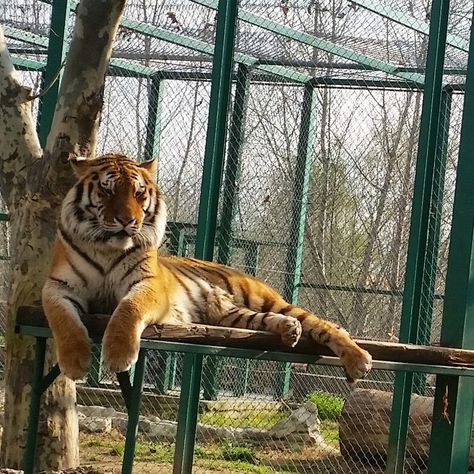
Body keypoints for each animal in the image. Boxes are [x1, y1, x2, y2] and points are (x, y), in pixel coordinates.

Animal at [41, 154, 374, 384]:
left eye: (138, 193)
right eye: (108, 191)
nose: (128, 221)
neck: (108, 246)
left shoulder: (148, 284)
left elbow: (128, 309)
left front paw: (119, 355)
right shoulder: (58, 287)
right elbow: (64, 321)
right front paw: (75, 362)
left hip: (263, 299)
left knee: (325, 325)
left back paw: (359, 359)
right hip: (232, 315)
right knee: (270, 321)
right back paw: (289, 330)